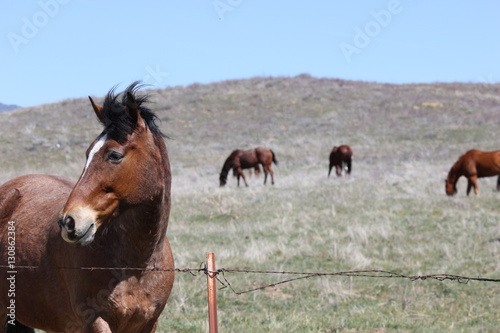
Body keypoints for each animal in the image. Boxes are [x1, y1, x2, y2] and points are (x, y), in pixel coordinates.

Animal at [0, 81, 176, 330]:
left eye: (114, 155)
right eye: (87, 153)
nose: (68, 222)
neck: (137, 268)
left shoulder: (149, 323)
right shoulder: (95, 321)